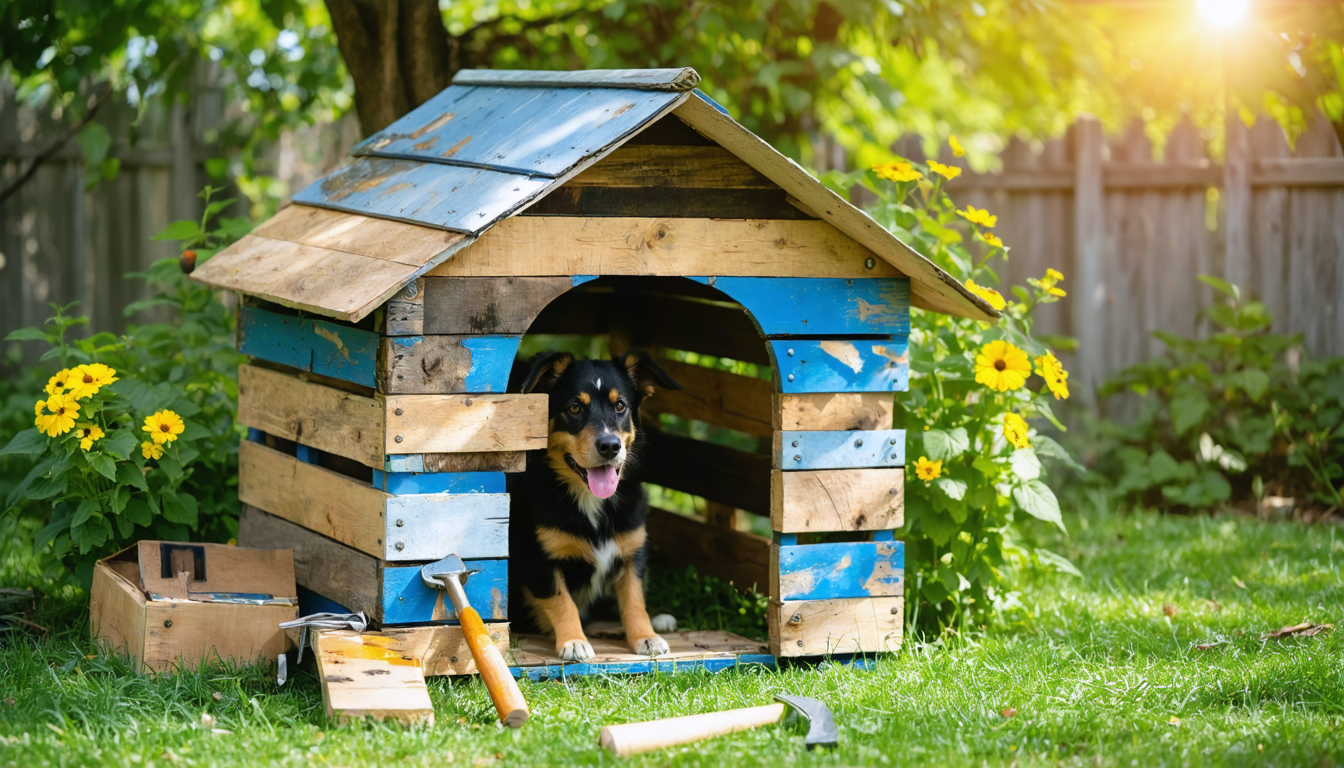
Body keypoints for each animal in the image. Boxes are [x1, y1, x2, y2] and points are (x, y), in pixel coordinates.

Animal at [510, 349, 688, 661]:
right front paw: (573, 641)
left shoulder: (633, 550)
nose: (610, 446)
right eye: (574, 408)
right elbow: (562, 600)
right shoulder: (539, 558)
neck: (591, 500)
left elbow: (634, 599)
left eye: (620, 406)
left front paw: (645, 637)